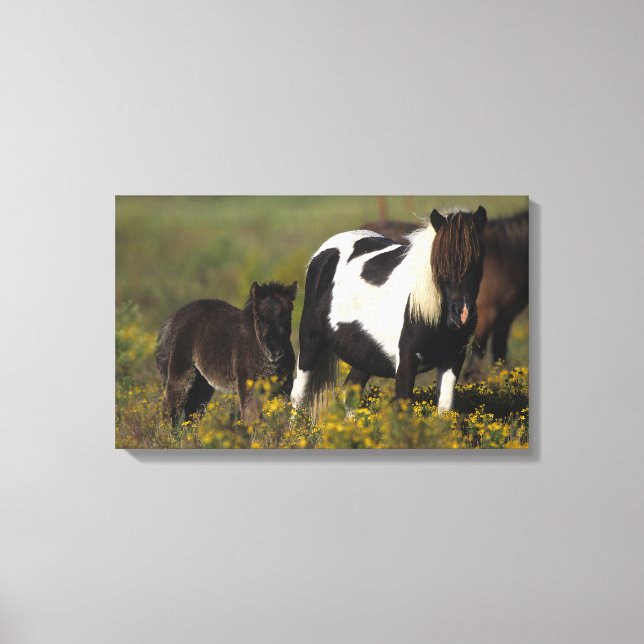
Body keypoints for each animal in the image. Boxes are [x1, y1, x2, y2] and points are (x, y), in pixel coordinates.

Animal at [156, 281, 297, 425]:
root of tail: (176, 317)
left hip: (203, 382)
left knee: (193, 409)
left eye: (288, 318)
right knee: (171, 404)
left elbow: (283, 416)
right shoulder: (248, 385)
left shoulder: (284, 386)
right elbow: (251, 417)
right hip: (182, 370)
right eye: (258, 319)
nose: (275, 351)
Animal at [290, 207, 487, 414]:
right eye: (440, 261)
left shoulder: (453, 359)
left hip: (364, 355)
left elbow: (445, 408)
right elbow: (403, 406)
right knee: (299, 395)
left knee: (350, 393)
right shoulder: (407, 360)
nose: (462, 315)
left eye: (479, 258)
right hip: (311, 341)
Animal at [362, 208, 528, 379]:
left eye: (480, 258)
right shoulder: (487, 315)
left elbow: (499, 355)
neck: (506, 256)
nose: (462, 311)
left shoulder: (505, 319)